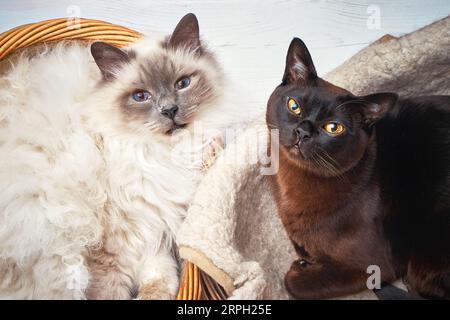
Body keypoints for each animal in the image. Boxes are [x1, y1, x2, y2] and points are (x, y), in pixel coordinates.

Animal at [0, 13, 236, 298]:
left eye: (182, 84)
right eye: (140, 96)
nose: (169, 110)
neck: (165, 155)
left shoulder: (156, 230)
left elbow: (159, 281)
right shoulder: (112, 249)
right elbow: (112, 291)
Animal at [268, 37, 450, 300]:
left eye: (333, 128)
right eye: (294, 106)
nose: (302, 132)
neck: (292, 180)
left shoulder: (374, 267)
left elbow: (295, 283)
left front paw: (300, 268)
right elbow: (302, 247)